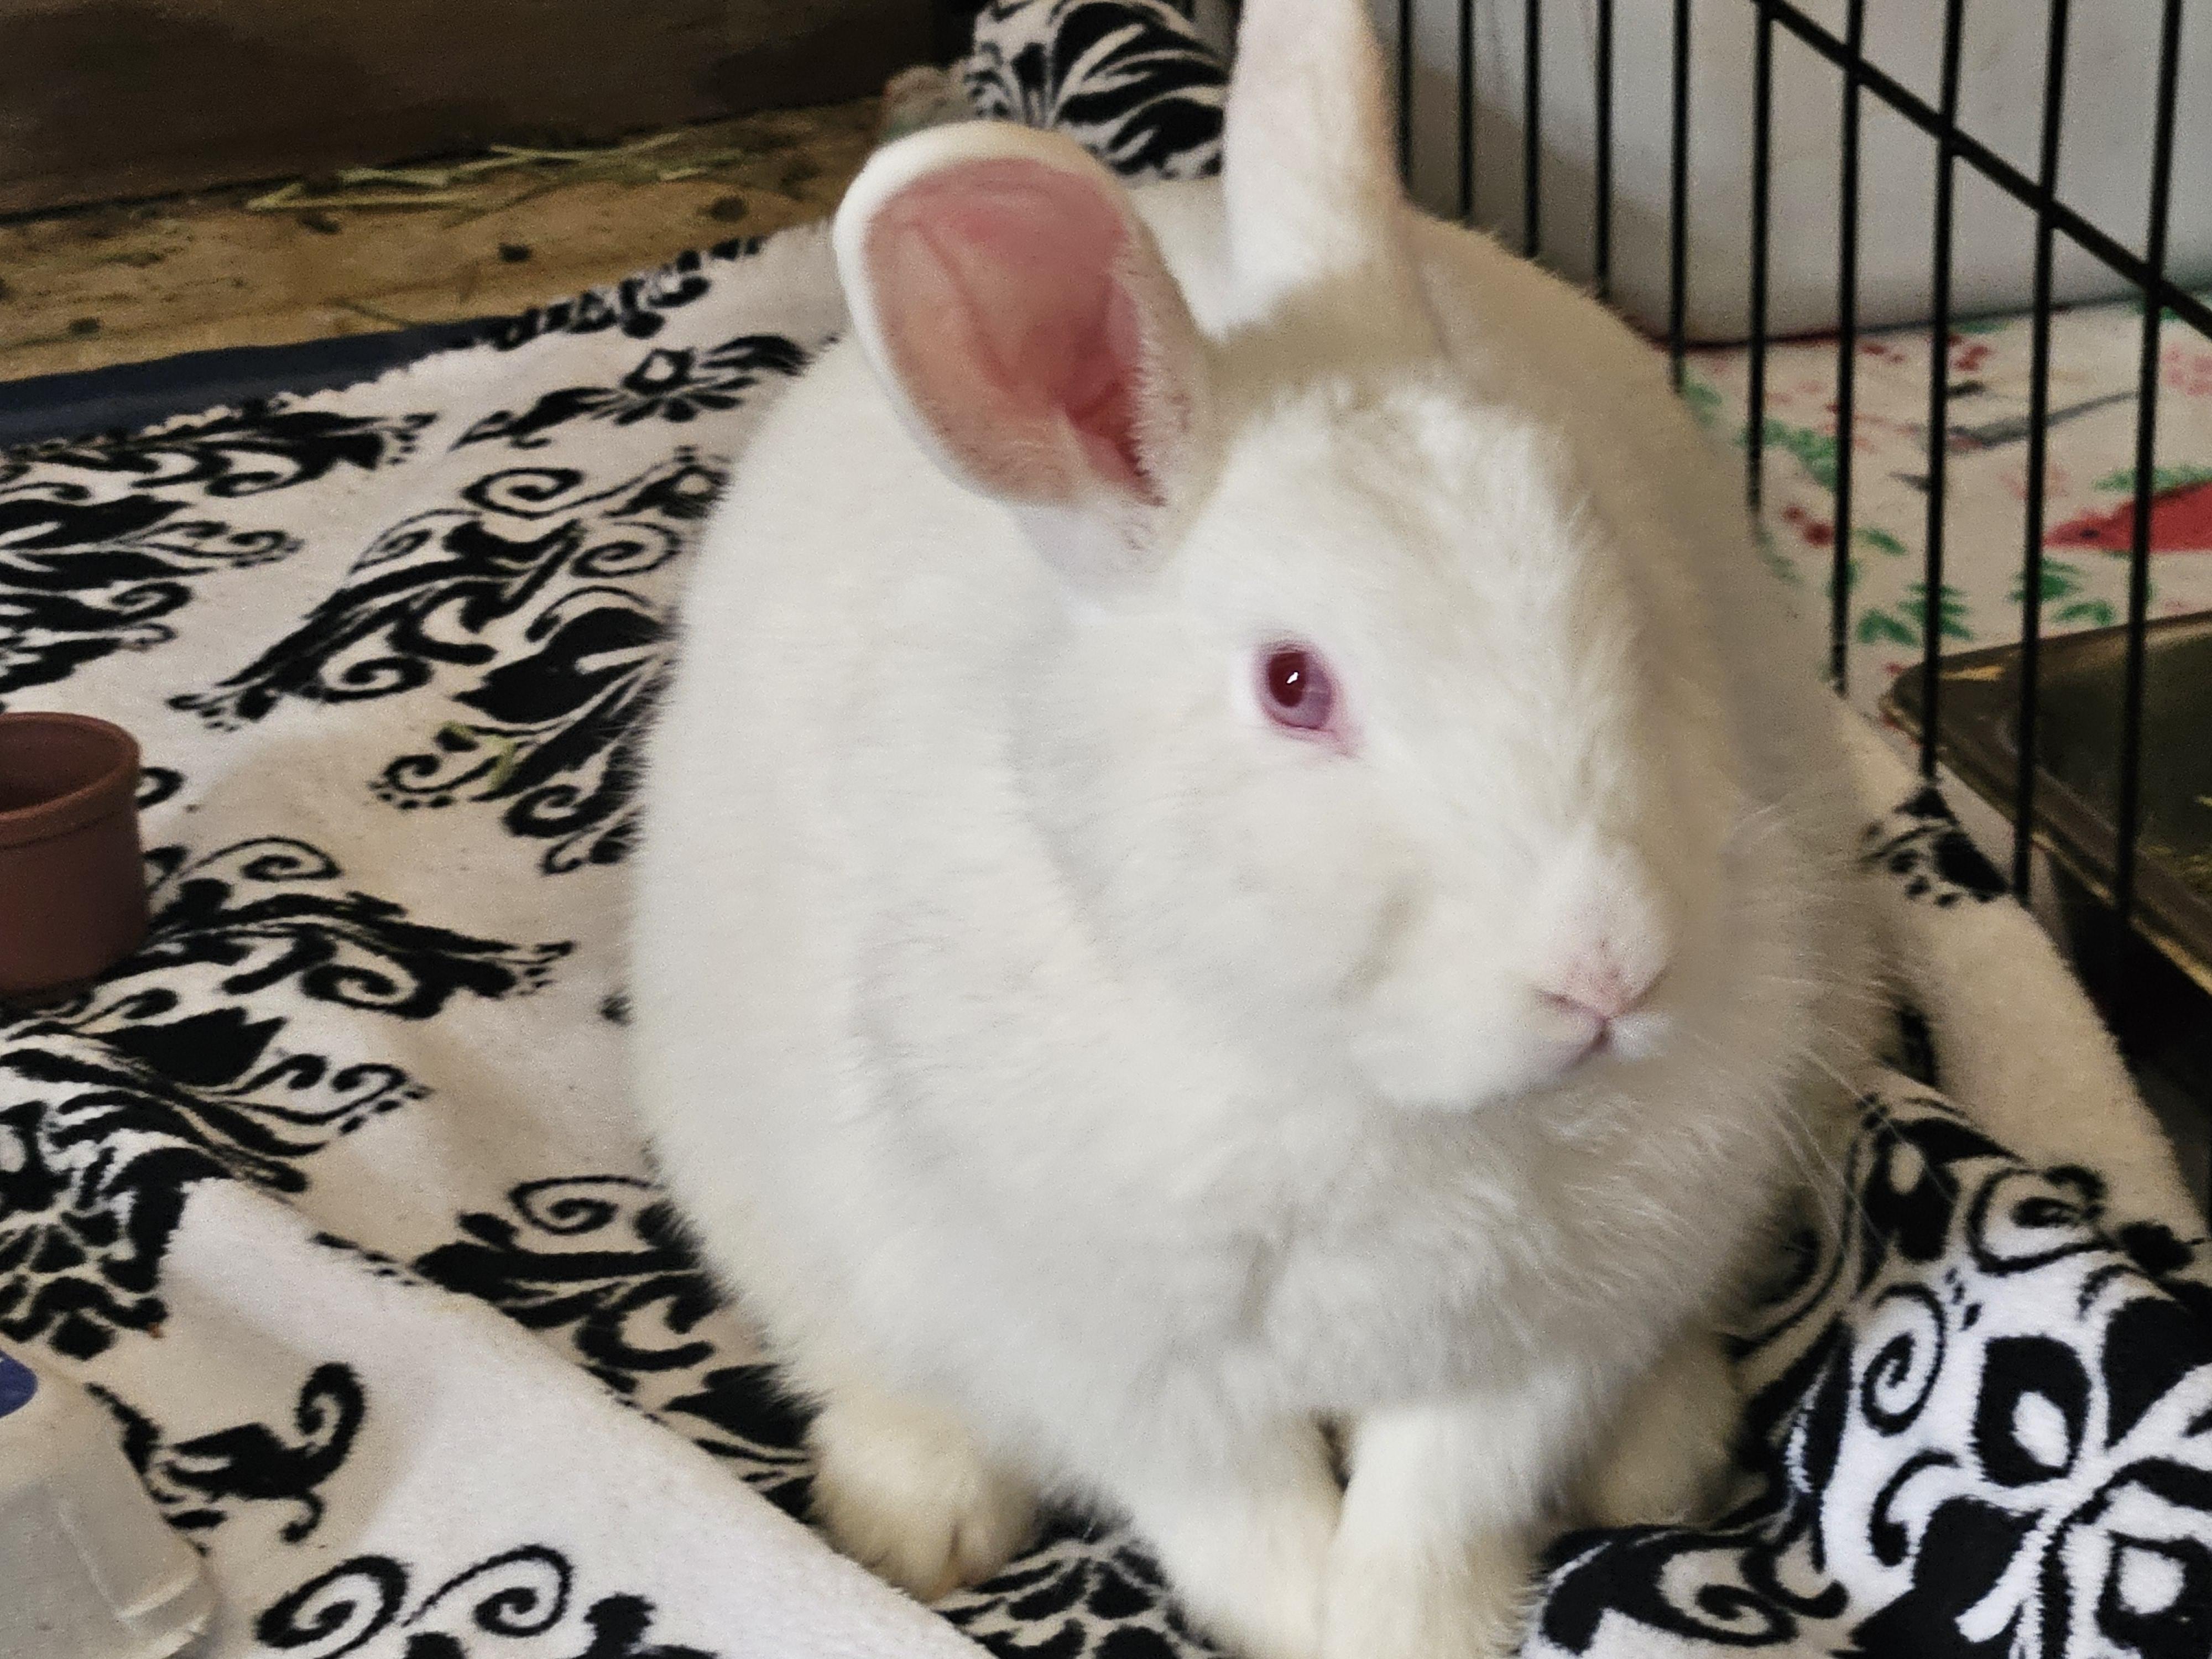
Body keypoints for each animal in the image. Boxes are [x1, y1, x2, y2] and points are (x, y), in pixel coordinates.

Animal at [629, 0, 1878, 1653]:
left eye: (1620, 583)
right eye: (1294, 685)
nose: (1608, 970)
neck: (1356, 1090)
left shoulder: (1535, 1344)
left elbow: (1437, 1508)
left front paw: (1413, 1631)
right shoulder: (1116, 1363)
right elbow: (1239, 1518)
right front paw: (1305, 1624)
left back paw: (1662, 1454)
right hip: (760, 1191)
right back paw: (912, 1525)